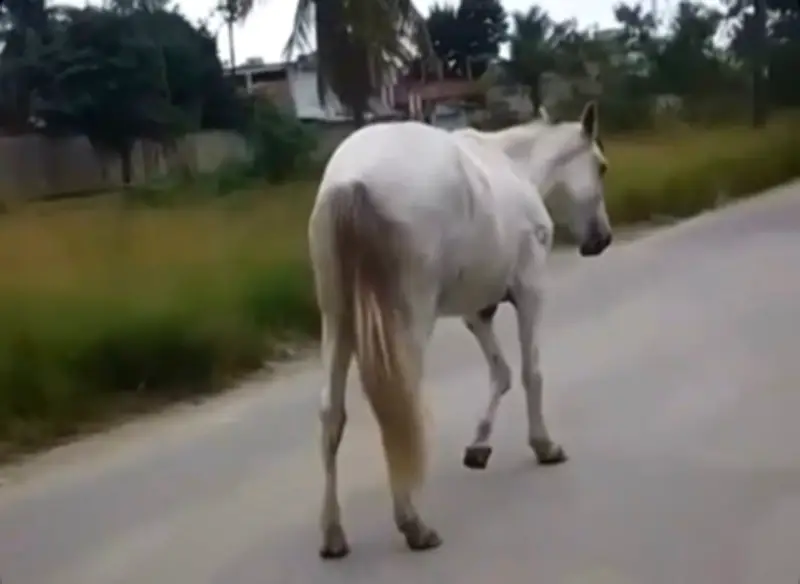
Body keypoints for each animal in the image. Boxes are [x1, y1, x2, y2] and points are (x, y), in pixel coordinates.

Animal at [307, 100, 612, 559]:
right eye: (601, 166)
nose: (601, 240)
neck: (516, 166)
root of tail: (352, 181)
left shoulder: (477, 310)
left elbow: (501, 372)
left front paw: (479, 447)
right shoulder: (530, 289)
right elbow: (530, 372)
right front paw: (544, 445)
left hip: (337, 319)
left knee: (332, 414)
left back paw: (332, 533)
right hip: (408, 319)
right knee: (401, 406)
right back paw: (413, 523)